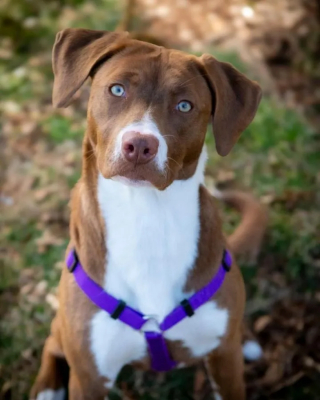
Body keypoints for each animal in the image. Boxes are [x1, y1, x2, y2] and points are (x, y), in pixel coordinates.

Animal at [31, 28, 264, 400]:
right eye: (117, 89)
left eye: (184, 105)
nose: (140, 145)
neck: (146, 218)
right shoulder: (90, 377)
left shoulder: (225, 362)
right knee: (54, 342)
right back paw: (47, 387)